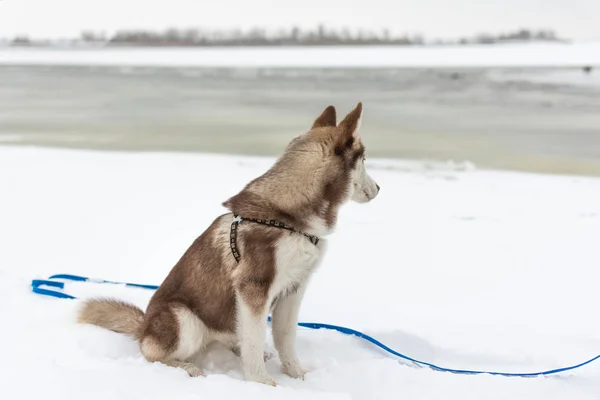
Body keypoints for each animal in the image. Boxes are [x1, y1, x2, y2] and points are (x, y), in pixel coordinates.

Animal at [78, 102, 380, 384]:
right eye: (364, 159)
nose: (379, 189)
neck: (289, 218)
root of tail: (143, 327)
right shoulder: (254, 288)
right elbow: (255, 340)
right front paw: (260, 382)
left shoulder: (293, 289)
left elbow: (285, 337)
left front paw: (296, 374)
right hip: (184, 319)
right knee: (154, 354)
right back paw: (186, 367)